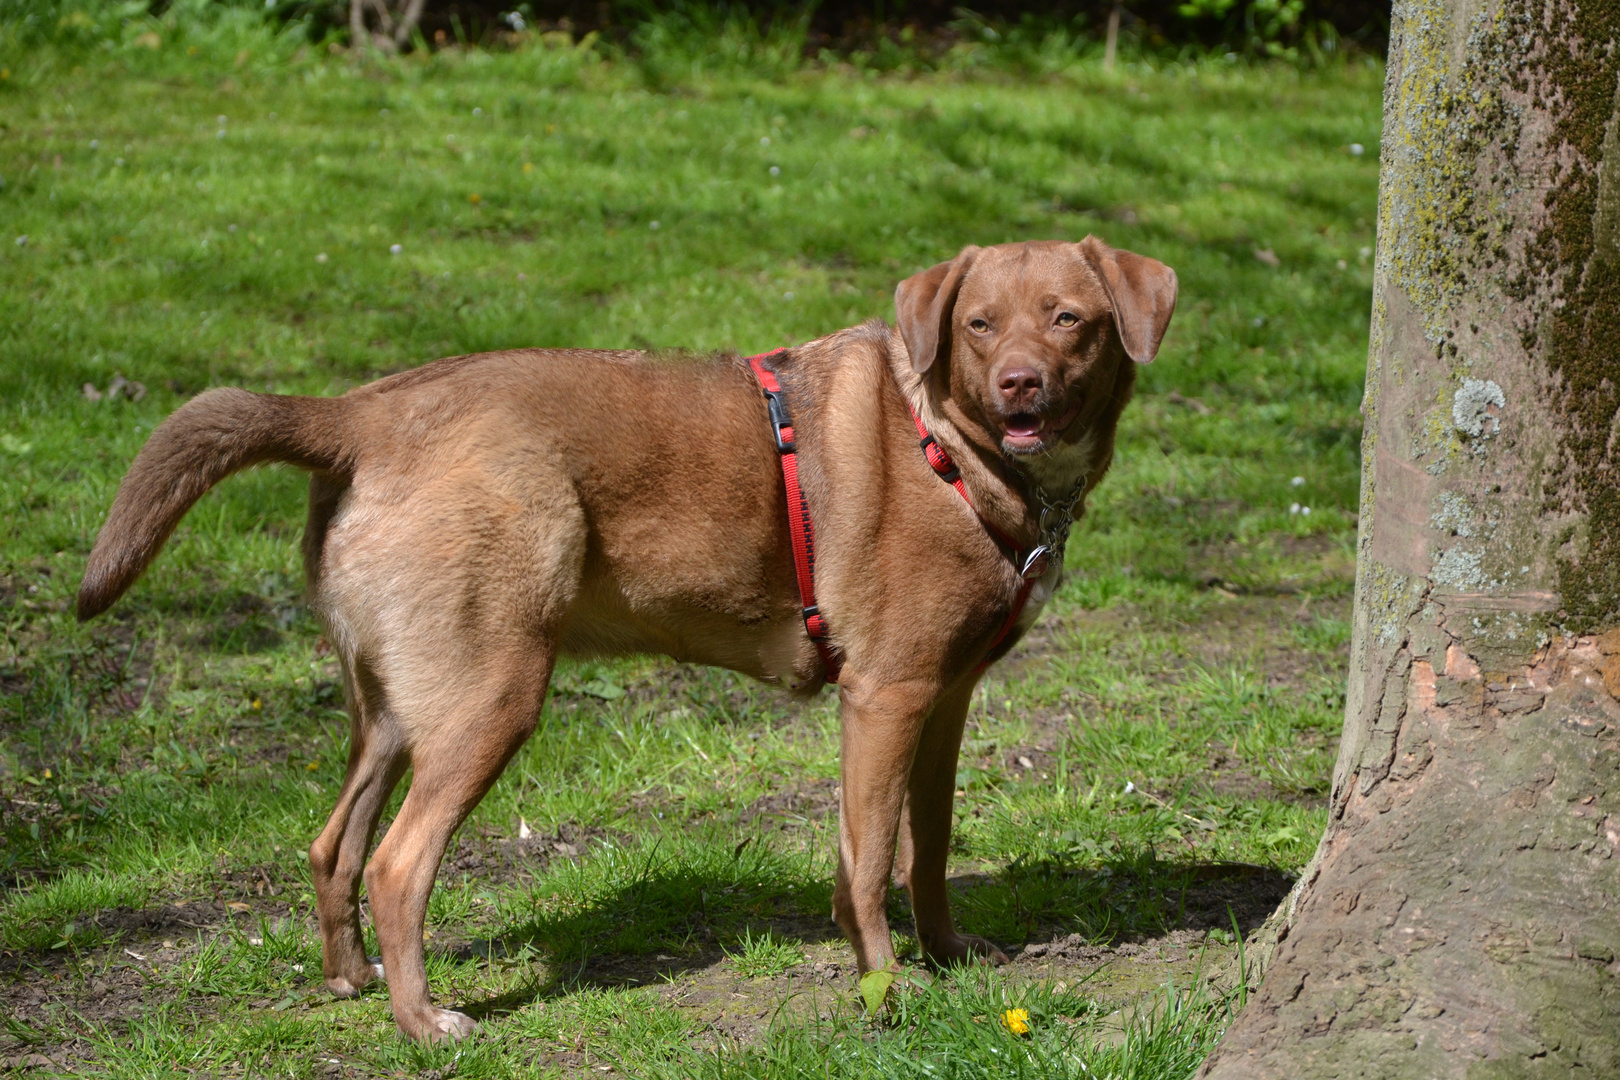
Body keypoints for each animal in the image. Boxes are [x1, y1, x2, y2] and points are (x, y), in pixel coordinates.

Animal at [78, 236, 1179, 1036]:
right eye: (978, 325)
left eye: (1069, 319)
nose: (1020, 385)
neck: (947, 443)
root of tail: (357, 414)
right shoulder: (885, 695)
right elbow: (868, 867)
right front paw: (885, 991)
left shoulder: (943, 701)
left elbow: (930, 849)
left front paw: (949, 959)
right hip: (492, 699)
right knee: (395, 867)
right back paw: (423, 1023)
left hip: (394, 712)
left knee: (331, 846)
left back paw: (352, 981)